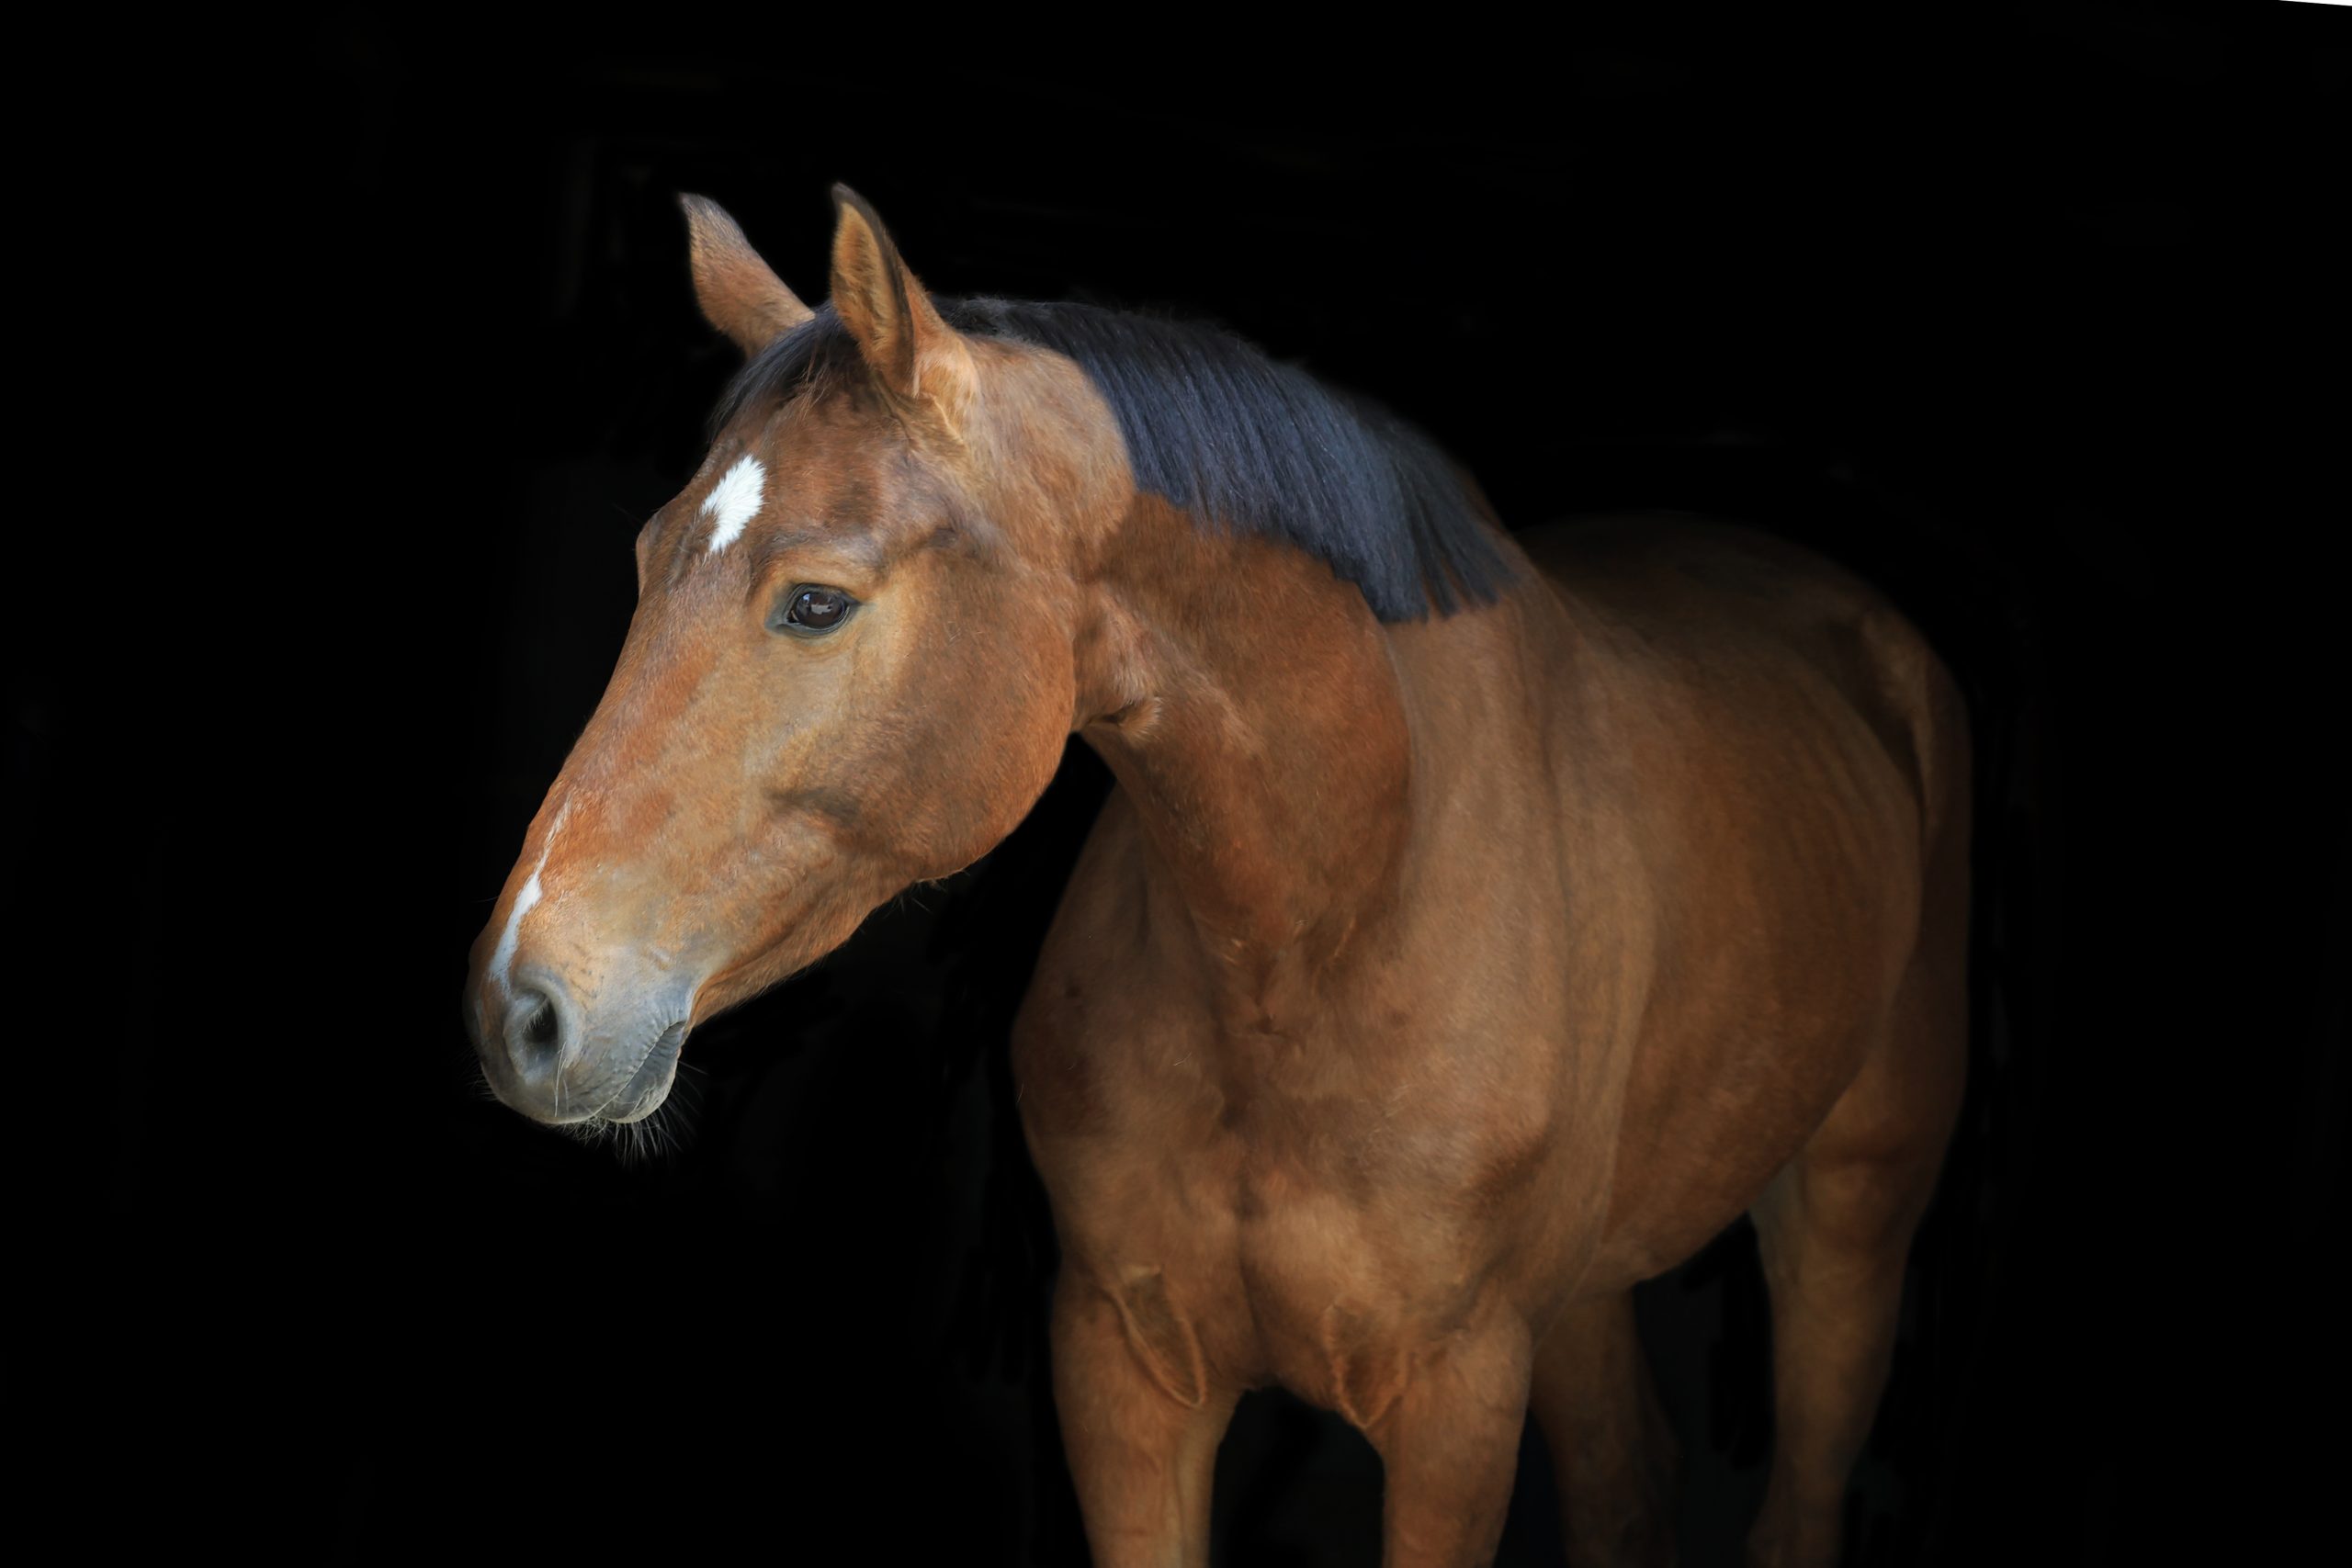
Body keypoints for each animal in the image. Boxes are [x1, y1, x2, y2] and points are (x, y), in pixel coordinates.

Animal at [462, 185, 1970, 1568]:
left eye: (817, 600)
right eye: (646, 560)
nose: (519, 1009)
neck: (1330, 925)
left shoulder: (1456, 1407)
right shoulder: (1124, 1375)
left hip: (1847, 1220)